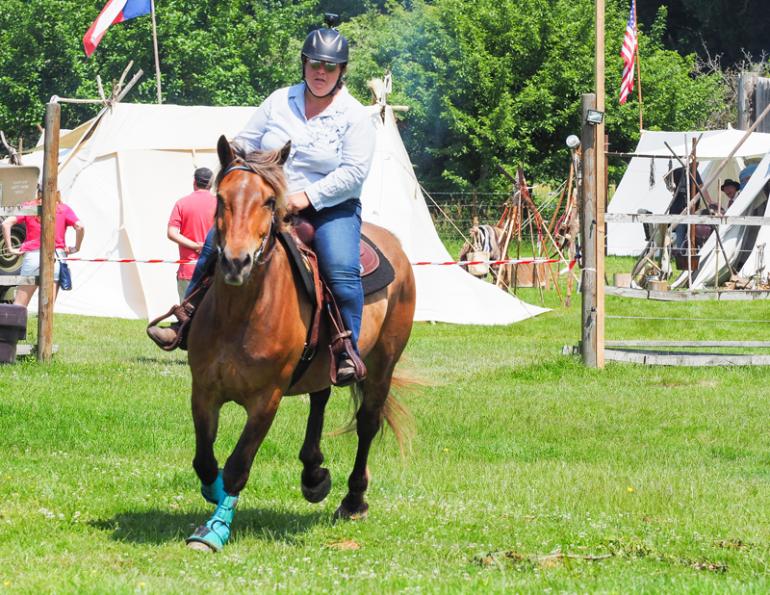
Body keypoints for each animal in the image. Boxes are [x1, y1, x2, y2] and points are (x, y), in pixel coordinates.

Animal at [183, 135, 416, 552]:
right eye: (221, 198)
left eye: (268, 201)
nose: (237, 262)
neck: (240, 314)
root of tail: (396, 248)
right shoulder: (204, 389)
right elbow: (205, 461)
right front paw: (214, 492)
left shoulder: (267, 399)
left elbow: (239, 465)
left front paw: (214, 529)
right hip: (322, 366)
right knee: (320, 398)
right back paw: (313, 474)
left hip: (382, 364)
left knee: (367, 423)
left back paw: (353, 500)